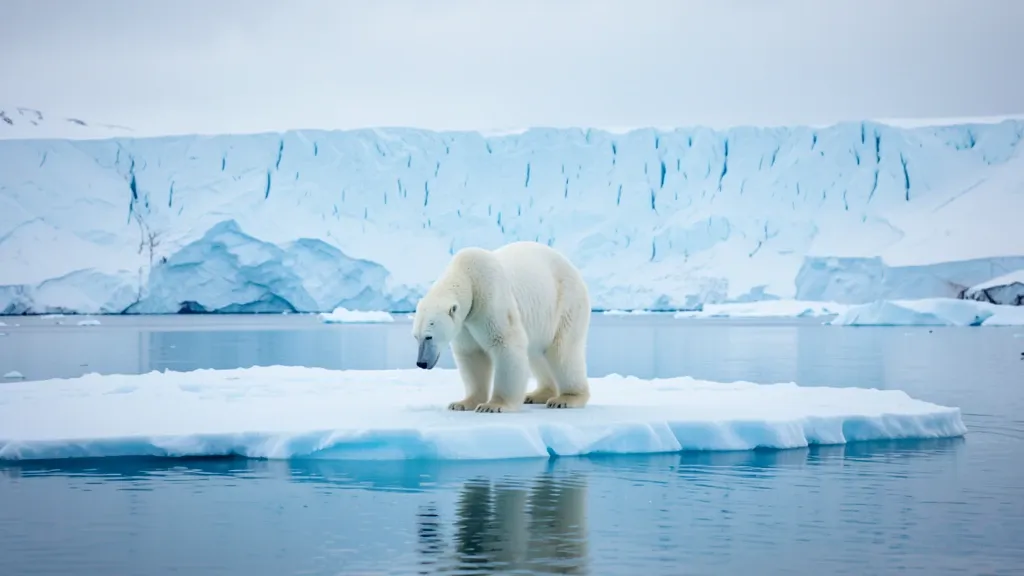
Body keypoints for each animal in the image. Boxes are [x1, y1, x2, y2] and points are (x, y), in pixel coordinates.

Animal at [412, 241, 591, 413]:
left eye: (429, 336)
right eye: (415, 337)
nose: (421, 363)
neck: (467, 276)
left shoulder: (490, 298)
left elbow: (505, 343)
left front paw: (493, 405)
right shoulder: (465, 324)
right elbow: (471, 353)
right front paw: (462, 403)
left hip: (565, 303)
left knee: (563, 351)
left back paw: (566, 398)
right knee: (535, 353)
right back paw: (536, 394)